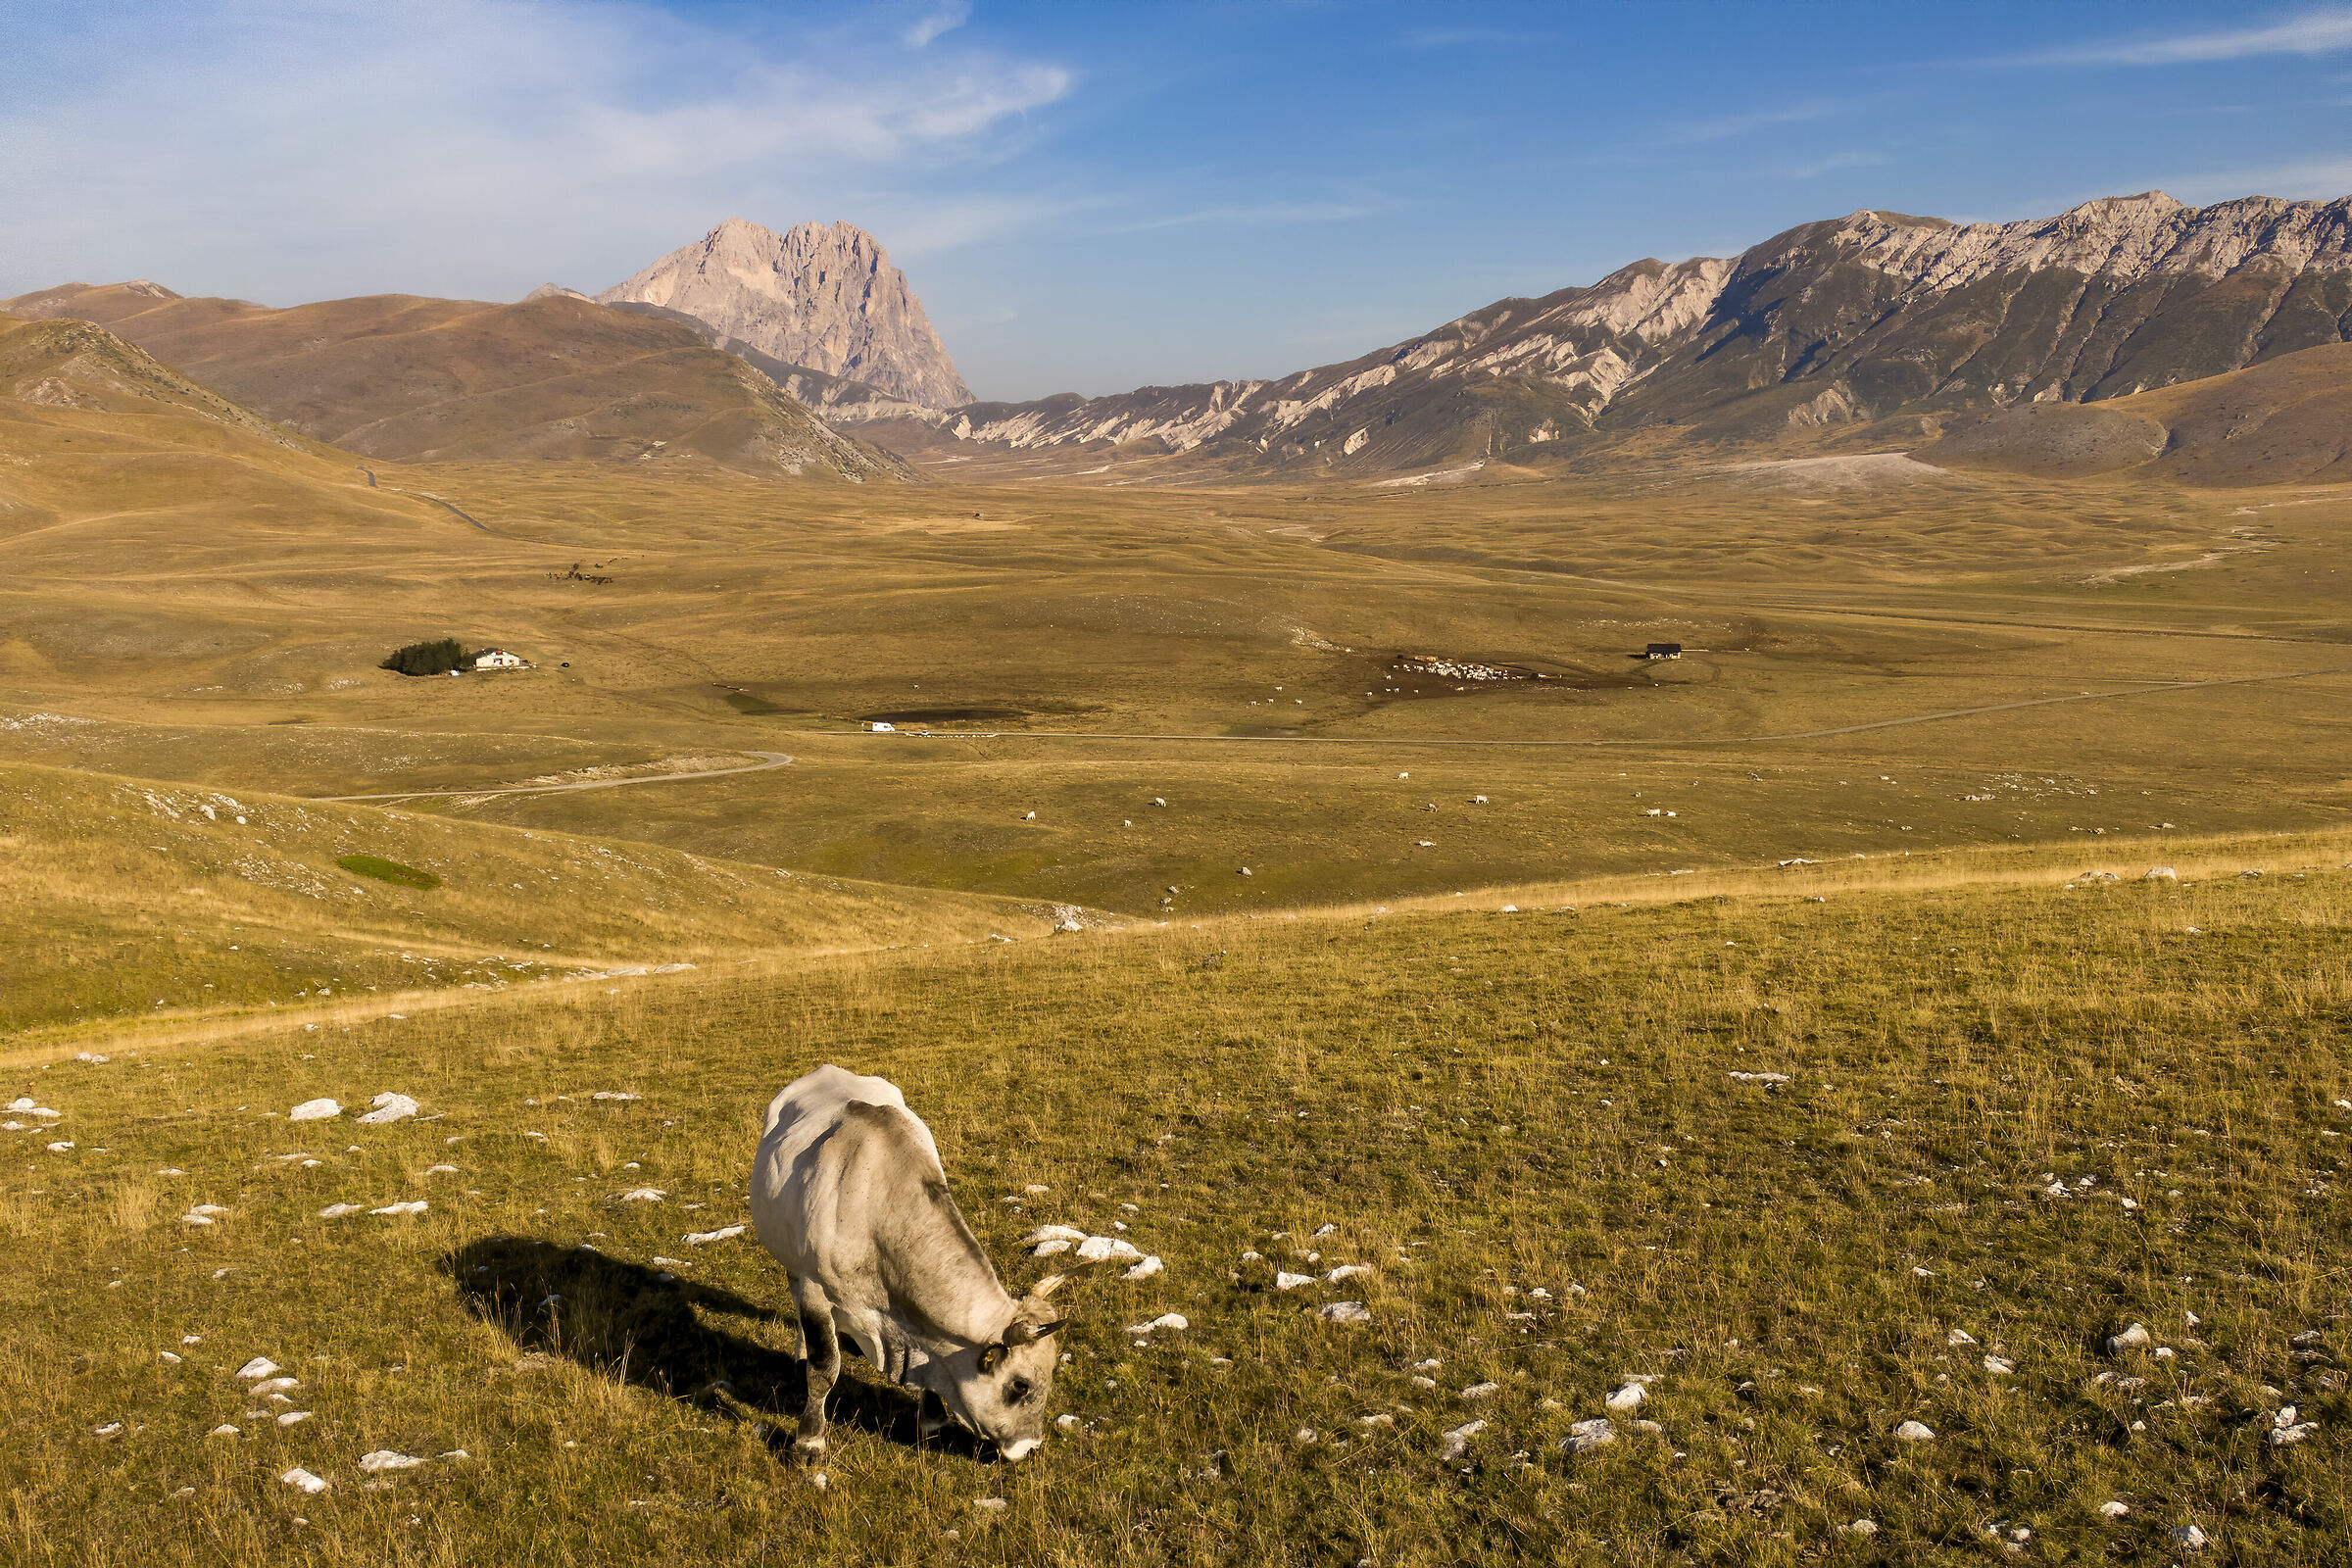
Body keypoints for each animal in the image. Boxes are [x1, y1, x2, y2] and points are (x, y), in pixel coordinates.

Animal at [749, 1065, 1071, 1463]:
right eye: (1020, 1385)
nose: (1029, 1446)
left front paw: (932, 1421)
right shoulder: (815, 1290)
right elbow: (823, 1369)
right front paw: (809, 1442)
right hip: (792, 1264)